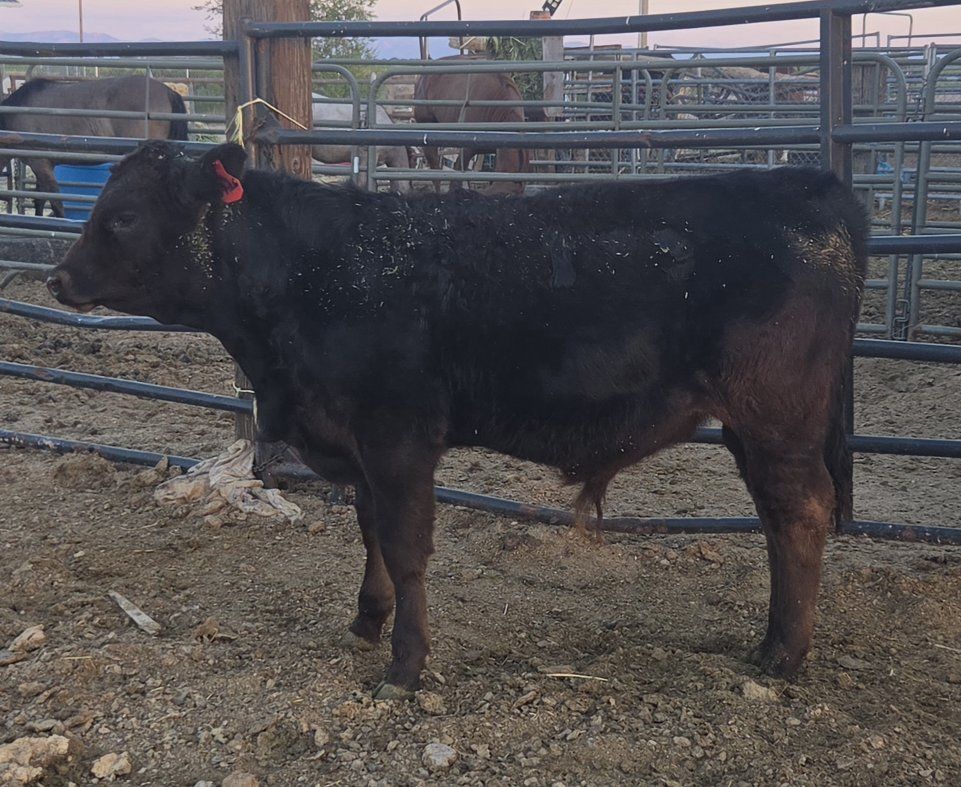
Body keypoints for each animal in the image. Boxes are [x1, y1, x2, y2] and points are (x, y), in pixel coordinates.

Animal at [47, 141, 868, 698]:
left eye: (122, 217)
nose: (56, 277)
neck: (316, 269)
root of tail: (810, 184)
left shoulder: (399, 435)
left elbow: (406, 545)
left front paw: (405, 665)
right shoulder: (358, 445)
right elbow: (371, 532)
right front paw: (366, 620)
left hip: (776, 418)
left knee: (799, 514)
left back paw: (784, 656)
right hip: (752, 428)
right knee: (777, 520)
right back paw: (772, 638)